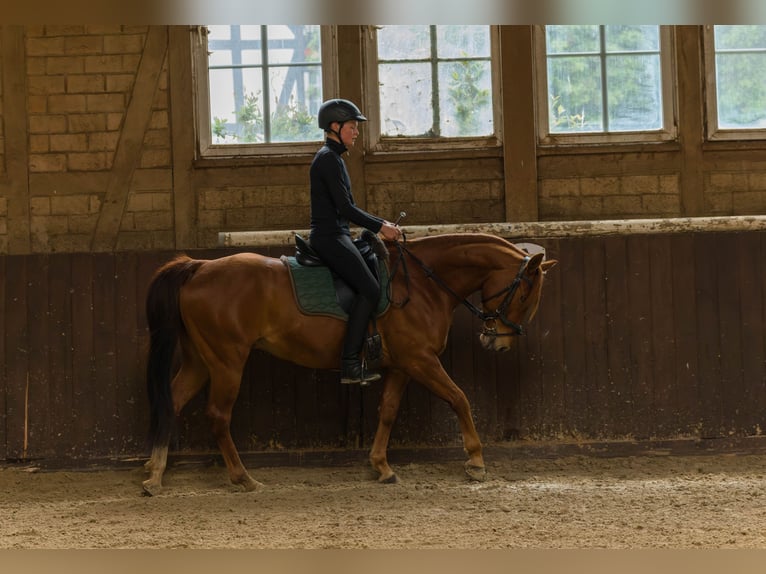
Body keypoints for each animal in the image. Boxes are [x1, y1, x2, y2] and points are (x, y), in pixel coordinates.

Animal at [141, 233, 560, 496]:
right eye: (525, 294)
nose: (498, 343)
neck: (424, 285)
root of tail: (198, 267)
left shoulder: (402, 366)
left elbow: (388, 411)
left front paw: (381, 467)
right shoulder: (421, 360)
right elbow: (459, 399)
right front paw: (475, 461)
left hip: (200, 360)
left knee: (171, 402)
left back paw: (155, 474)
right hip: (227, 360)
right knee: (217, 415)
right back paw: (242, 478)